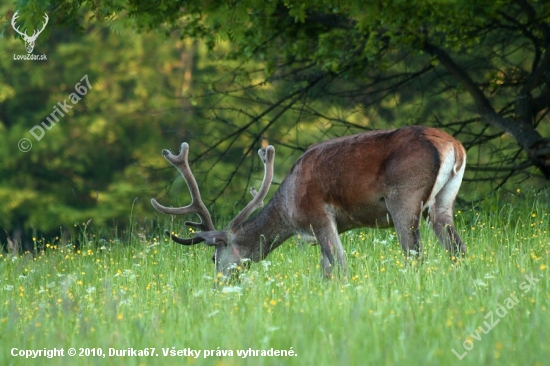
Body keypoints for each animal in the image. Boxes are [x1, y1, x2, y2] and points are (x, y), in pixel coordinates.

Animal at [153, 125, 468, 278]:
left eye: (213, 257)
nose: (219, 285)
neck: (289, 208)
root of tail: (454, 146)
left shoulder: (317, 214)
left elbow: (340, 266)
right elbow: (325, 270)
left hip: (404, 196)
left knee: (415, 254)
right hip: (444, 201)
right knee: (458, 249)